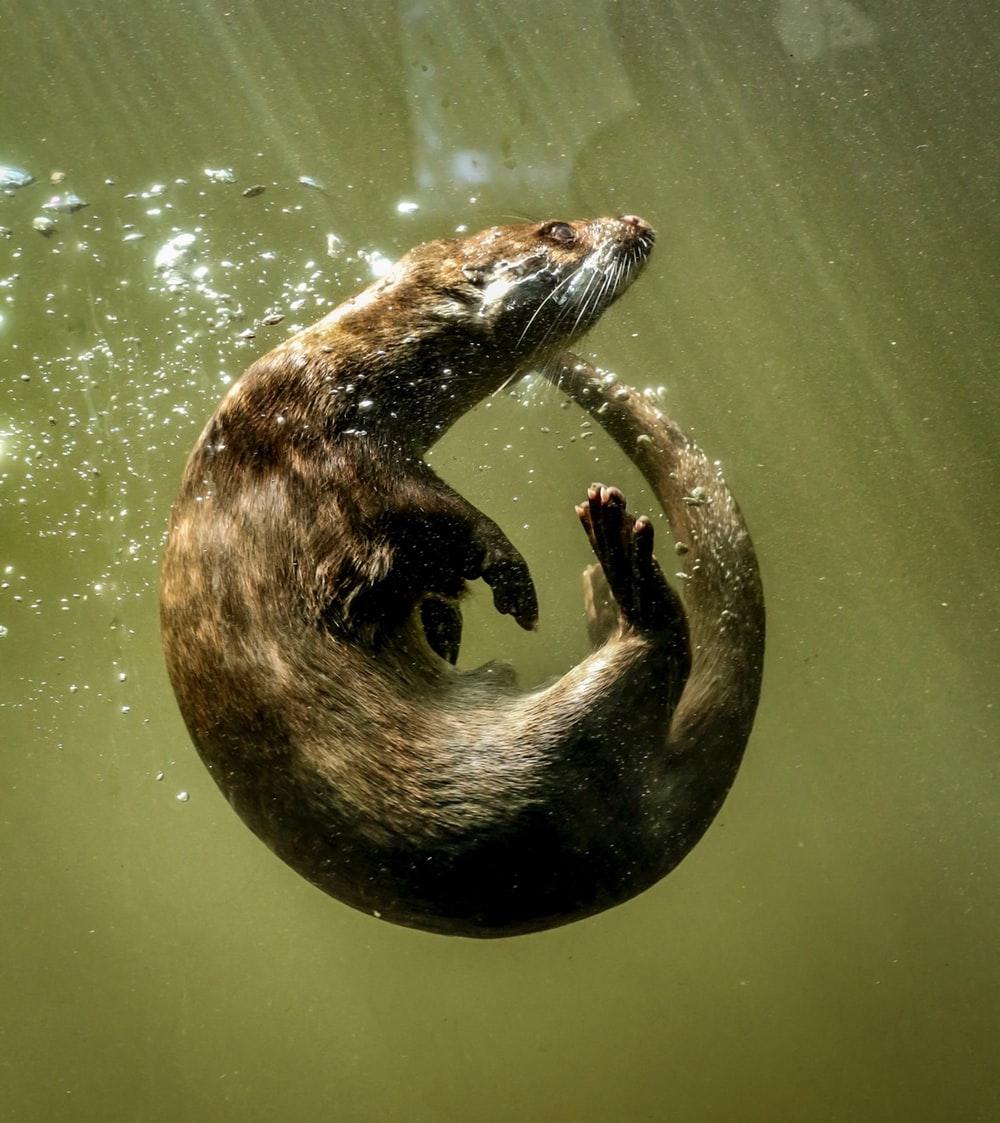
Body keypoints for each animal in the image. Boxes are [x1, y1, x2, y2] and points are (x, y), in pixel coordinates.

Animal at [160, 215, 765, 937]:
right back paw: (620, 560)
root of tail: (646, 841)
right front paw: (511, 581)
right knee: (655, 649)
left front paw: (442, 621)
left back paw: (602, 593)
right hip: (533, 773)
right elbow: (444, 522)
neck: (336, 375)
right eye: (558, 230)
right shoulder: (342, 460)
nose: (637, 223)